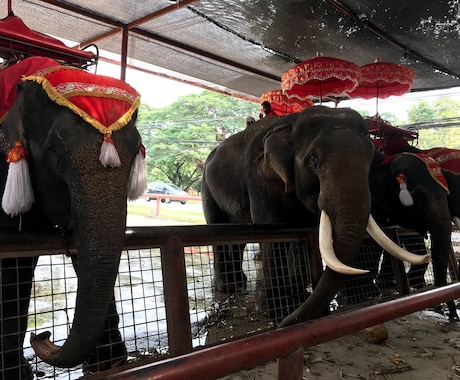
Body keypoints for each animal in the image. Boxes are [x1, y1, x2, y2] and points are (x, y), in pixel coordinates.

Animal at [0, 63, 146, 378]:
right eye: (54, 152)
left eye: (137, 151)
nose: (42, 335)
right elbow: (13, 264)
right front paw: (15, 373)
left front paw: (109, 364)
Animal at [202, 105, 428, 328]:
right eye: (314, 160)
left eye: (370, 159)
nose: (286, 324)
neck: (291, 125)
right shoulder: (260, 179)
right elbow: (273, 230)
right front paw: (278, 312)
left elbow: (303, 234)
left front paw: (297, 300)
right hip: (207, 185)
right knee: (219, 227)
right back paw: (229, 288)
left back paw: (237, 284)